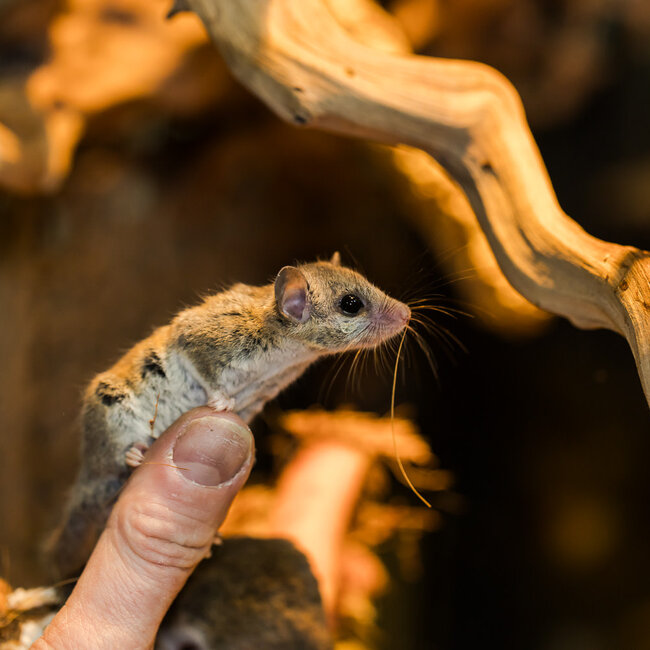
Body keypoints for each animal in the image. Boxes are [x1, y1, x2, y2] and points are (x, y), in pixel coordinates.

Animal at [48, 253, 411, 578]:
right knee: (110, 463)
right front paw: (222, 403)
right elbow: (207, 375)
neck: (285, 346)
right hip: (112, 413)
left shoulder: (258, 396)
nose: (407, 313)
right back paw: (135, 455)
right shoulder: (201, 340)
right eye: (351, 303)